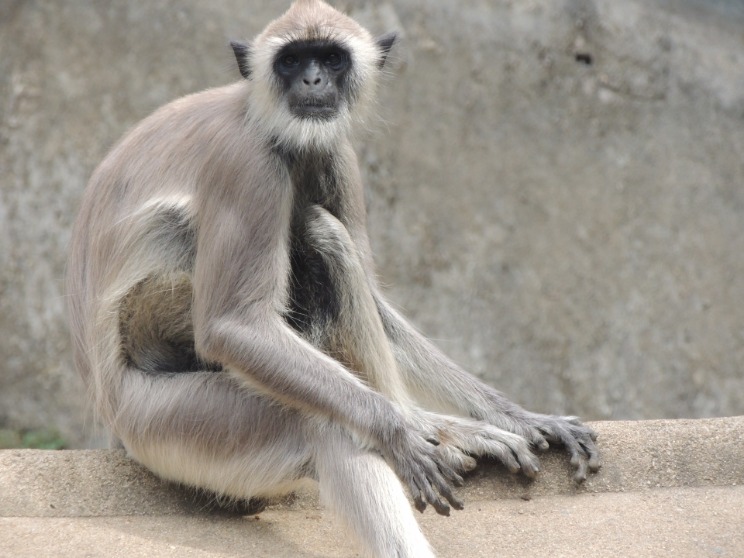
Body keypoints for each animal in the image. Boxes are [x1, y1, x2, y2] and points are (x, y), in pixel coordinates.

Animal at [67, 1, 599, 556]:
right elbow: (232, 327)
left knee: (323, 238)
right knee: (322, 422)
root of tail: (112, 416)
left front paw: (514, 416)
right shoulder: (248, 161)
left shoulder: (336, 153)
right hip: (166, 422)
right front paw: (401, 431)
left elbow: (376, 306)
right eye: (292, 60)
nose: (313, 79)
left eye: (331, 58)